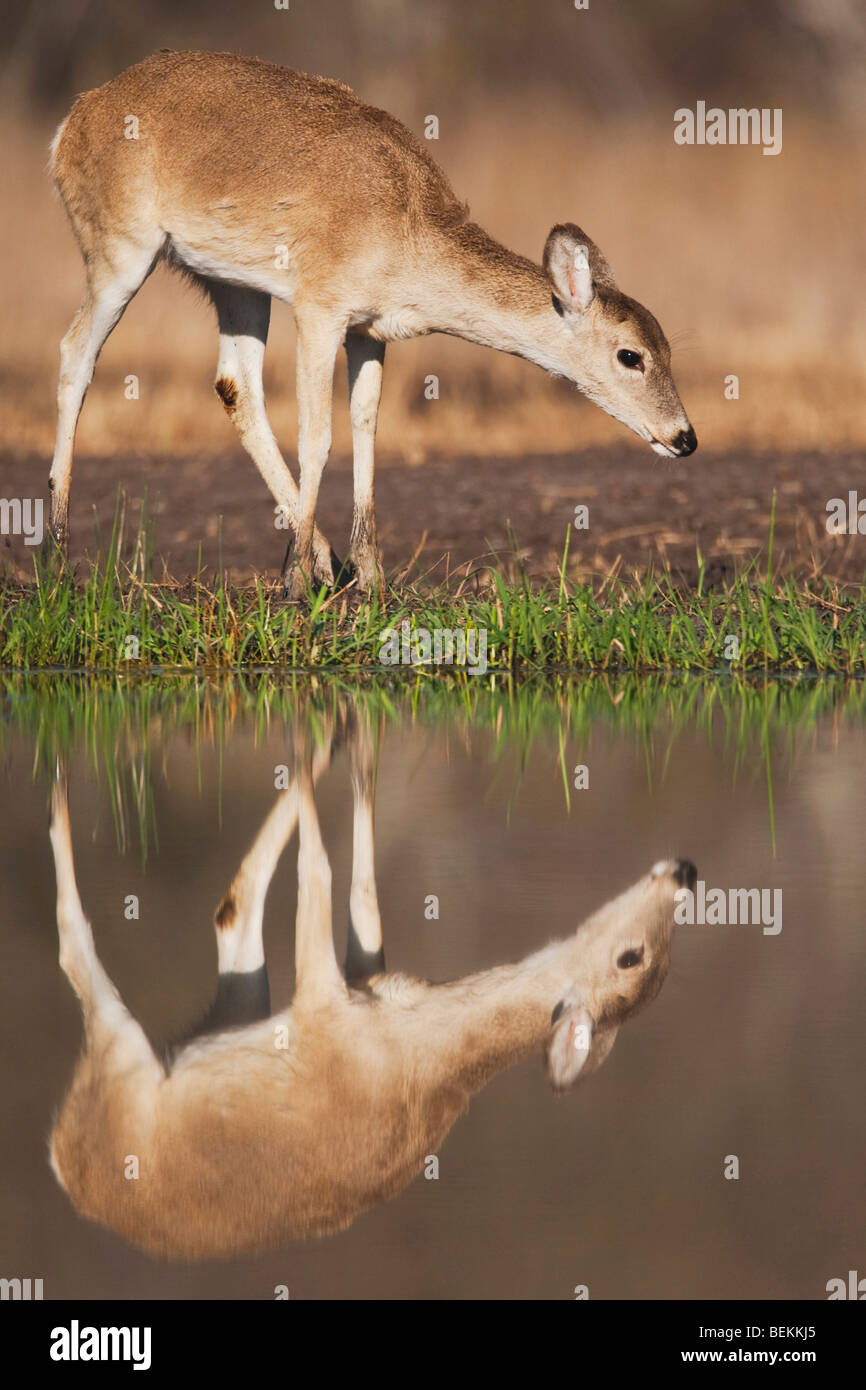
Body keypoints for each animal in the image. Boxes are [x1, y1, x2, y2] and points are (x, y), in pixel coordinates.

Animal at [47, 705, 696, 1259]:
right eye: (636, 959)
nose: (686, 870)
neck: (414, 1049)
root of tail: (65, 1166)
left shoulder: (321, 997)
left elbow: (320, 871)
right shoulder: (363, 973)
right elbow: (363, 895)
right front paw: (350, 739)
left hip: (139, 1046)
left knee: (92, 939)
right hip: (230, 1004)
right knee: (231, 908)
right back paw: (333, 734)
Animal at [48, 49, 697, 598]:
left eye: (667, 347)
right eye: (631, 354)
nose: (684, 438)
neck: (405, 220)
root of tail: (76, 115)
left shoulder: (369, 331)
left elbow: (366, 427)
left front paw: (369, 575)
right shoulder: (319, 312)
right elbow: (318, 436)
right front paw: (295, 585)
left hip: (234, 287)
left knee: (235, 386)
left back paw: (324, 561)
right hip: (121, 255)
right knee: (76, 354)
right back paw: (59, 556)